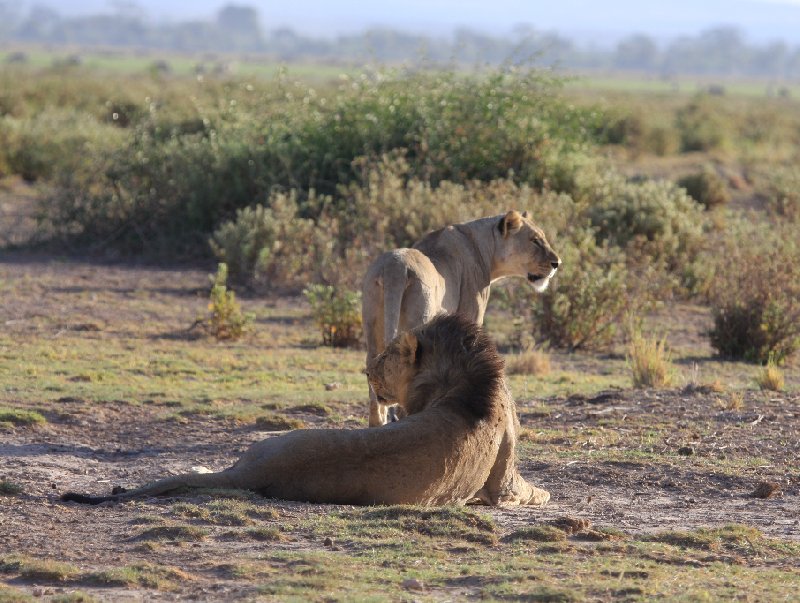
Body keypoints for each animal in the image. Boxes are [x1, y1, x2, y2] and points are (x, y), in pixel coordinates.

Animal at [62, 316, 552, 510]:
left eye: (387, 354)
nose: (365, 368)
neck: (464, 378)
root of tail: (256, 473)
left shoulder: (502, 481)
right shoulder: (503, 482)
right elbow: (529, 490)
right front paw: (546, 494)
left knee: (212, 472)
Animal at [364, 210, 560, 428]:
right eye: (534, 240)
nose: (556, 264)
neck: (486, 248)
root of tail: (395, 265)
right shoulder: (472, 312)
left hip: (373, 324)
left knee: (372, 362)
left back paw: (377, 422)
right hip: (418, 316)